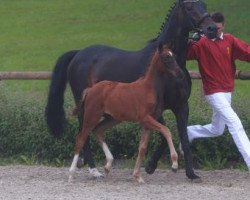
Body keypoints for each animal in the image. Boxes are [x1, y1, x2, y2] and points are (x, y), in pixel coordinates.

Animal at [68, 45, 182, 183]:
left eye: (174, 56)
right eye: (166, 57)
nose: (180, 73)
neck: (149, 88)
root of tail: (90, 89)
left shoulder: (148, 124)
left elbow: (142, 148)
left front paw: (137, 176)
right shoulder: (145, 118)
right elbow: (166, 130)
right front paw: (174, 164)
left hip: (113, 119)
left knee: (98, 131)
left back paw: (108, 165)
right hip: (91, 116)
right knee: (80, 139)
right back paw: (71, 174)